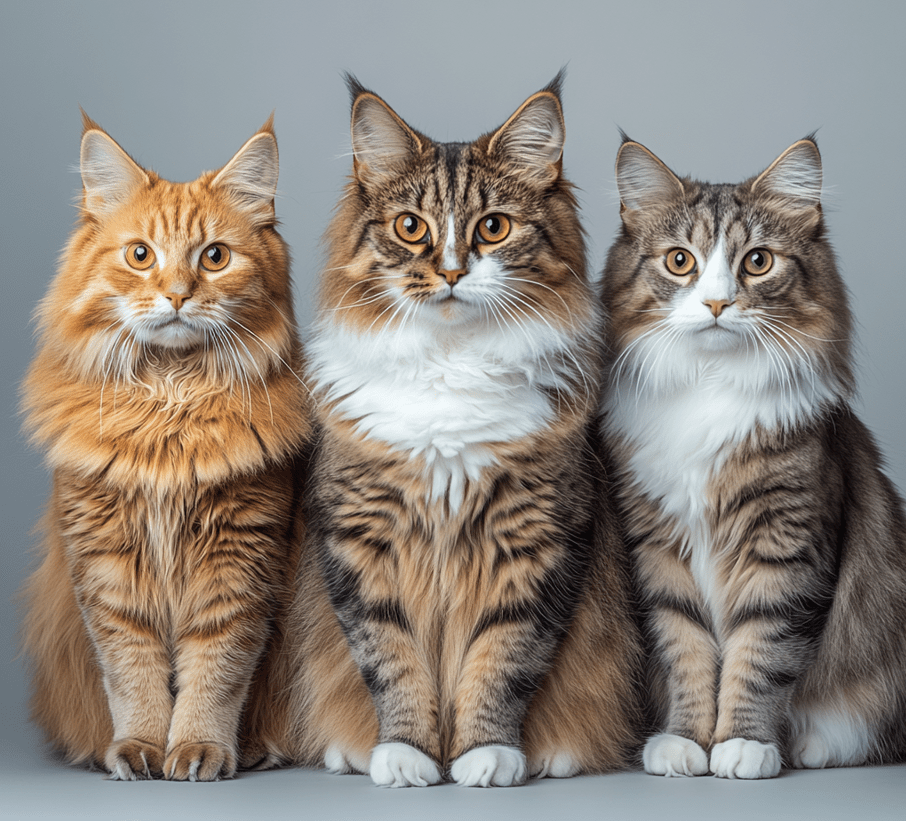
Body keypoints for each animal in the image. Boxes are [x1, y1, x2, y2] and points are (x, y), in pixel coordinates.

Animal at [20, 112, 310, 780]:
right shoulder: (107, 564)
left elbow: (216, 672)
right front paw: (141, 747)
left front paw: (201, 748)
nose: (178, 294)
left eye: (215, 257)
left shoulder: (240, 558)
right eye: (140, 255)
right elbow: (133, 671)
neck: (169, 408)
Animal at [278, 77, 640, 788]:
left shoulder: (539, 538)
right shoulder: (361, 539)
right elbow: (392, 662)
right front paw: (407, 756)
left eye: (492, 228)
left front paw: (485, 756)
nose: (449, 272)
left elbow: (501, 661)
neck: (450, 368)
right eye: (410, 227)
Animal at [600, 138, 904, 780]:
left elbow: (759, 656)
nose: (718, 302)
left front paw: (744, 744)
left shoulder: (785, 545)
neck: (711, 388)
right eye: (680, 261)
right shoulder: (658, 548)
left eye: (758, 262)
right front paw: (685, 742)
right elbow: (686, 651)